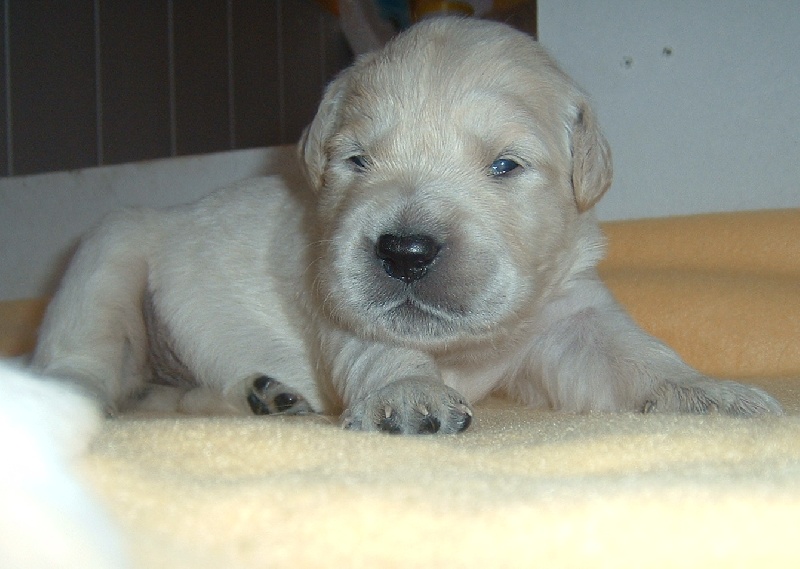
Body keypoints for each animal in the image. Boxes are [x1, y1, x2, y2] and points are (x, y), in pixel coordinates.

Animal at [32, 17, 782, 434]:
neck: (463, 348)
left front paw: (712, 394)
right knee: (83, 359)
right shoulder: (334, 290)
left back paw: (266, 398)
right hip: (110, 250)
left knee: (172, 397)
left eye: (505, 165)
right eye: (357, 160)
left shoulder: (571, 313)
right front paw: (407, 393)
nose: (405, 251)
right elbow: (382, 346)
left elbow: (635, 355)